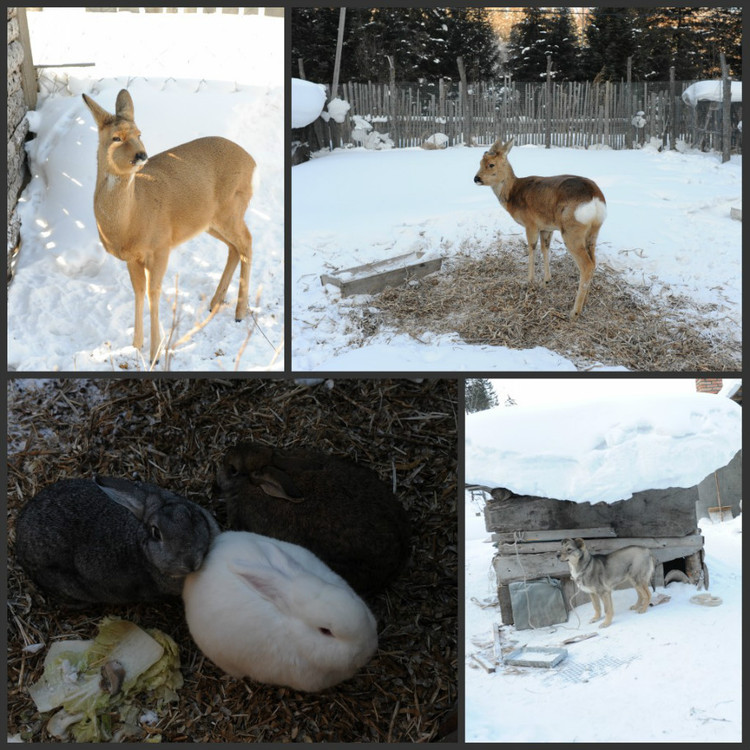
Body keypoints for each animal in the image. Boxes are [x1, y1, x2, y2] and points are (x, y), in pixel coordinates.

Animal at [82, 88, 258, 364]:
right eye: (116, 138)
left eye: (139, 133)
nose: (141, 155)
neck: (131, 218)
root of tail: (252, 162)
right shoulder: (132, 258)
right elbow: (138, 291)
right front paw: (136, 345)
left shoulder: (160, 246)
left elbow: (153, 292)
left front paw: (155, 353)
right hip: (209, 221)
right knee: (234, 247)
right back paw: (216, 301)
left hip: (231, 208)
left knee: (247, 241)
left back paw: (239, 312)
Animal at [478, 138, 608, 320]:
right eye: (479, 162)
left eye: (491, 164)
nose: (476, 178)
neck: (513, 194)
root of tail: (595, 199)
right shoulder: (546, 227)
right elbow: (545, 248)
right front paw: (546, 280)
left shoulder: (531, 223)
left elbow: (531, 248)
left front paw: (530, 280)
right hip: (593, 231)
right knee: (594, 262)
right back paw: (586, 300)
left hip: (572, 230)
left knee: (587, 265)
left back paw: (574, 311)